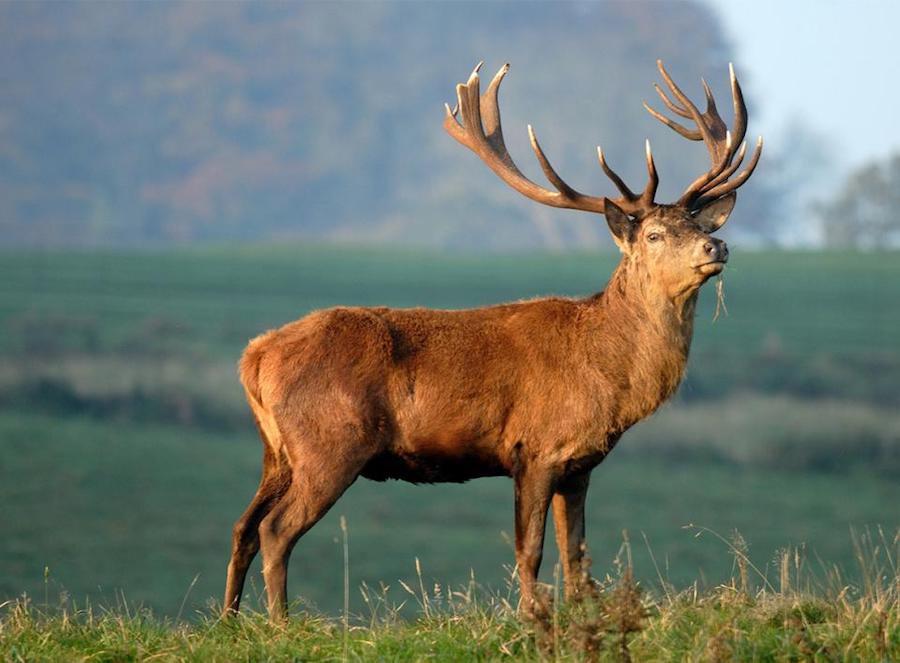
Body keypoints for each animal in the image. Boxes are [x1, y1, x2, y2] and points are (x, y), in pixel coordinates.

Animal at [223, 59, 760, 620]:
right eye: (654, 235)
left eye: (698, 223)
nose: (717, 245)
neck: (609, 373)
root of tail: (255, 356)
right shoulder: (538, 447)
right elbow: (532, 548)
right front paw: (532, 617)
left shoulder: (580, 465)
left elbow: (577, 554)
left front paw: (583, 615)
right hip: (330, 442)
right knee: (275, 529)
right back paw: (282, 623)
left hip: (278, 451)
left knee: (242, 527)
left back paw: (230, 620)